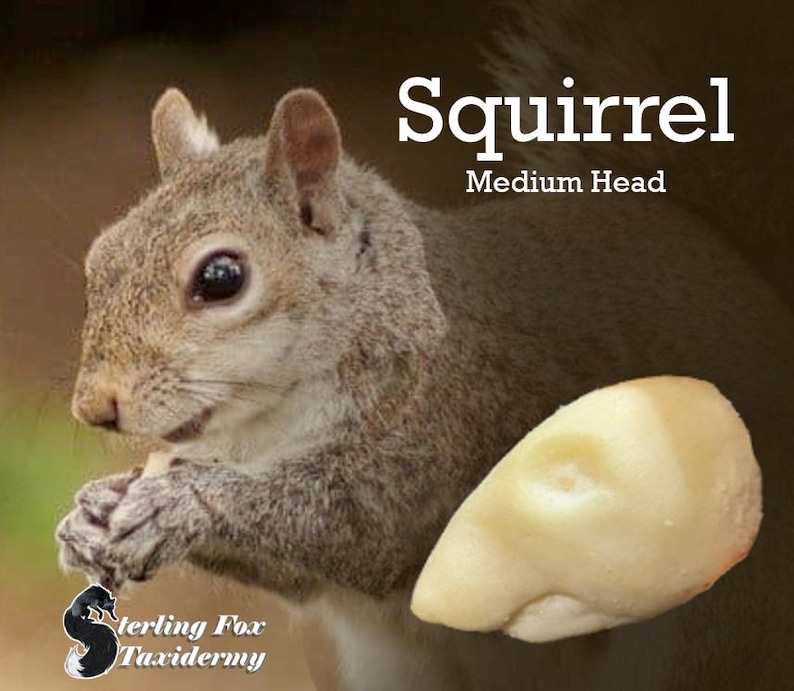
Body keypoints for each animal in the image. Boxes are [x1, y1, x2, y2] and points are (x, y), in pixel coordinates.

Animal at [56, 8, 794, 691]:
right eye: (100, 256)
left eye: (220, 278)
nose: (94, 408)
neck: (269, 425)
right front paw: (90, 512)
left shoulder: (451, 425)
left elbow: (361, 526)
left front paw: (176, 503)